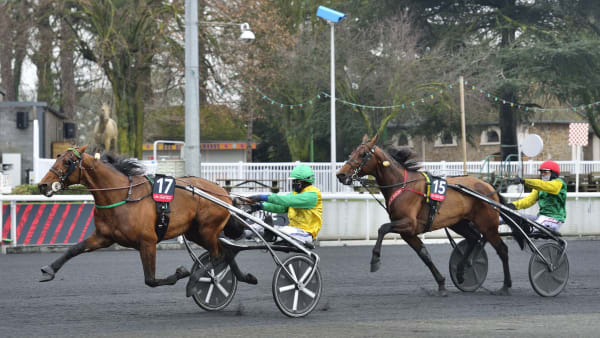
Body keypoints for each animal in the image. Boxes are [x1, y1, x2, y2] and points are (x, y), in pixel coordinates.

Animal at [35, 145, 255, 288]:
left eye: (67, 161)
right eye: (56, 158)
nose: (43, 185)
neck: (122, 196)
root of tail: (223, 192)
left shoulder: (147, 241)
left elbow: (150, 280)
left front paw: (181, 273)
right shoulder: (103, 237)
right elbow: (74, 249)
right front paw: (49, 269)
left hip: (207, 229)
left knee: (218, 255)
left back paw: (197, 278)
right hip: (196, 232)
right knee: (225, 252)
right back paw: (245, 277)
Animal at [336, 136, 524, 294]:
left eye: (362, 154)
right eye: (351, 153)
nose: (340, 174)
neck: (402, 185)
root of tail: (489, 186)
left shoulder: (408, 223)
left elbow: (382, 228)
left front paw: (375, 259)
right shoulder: (408, 233)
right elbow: (424, 255)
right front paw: (441, 283)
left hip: (487, 224)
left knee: (502, 249)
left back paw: (506, 285)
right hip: (459, 222)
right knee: (474, 238)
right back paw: (461, 272)